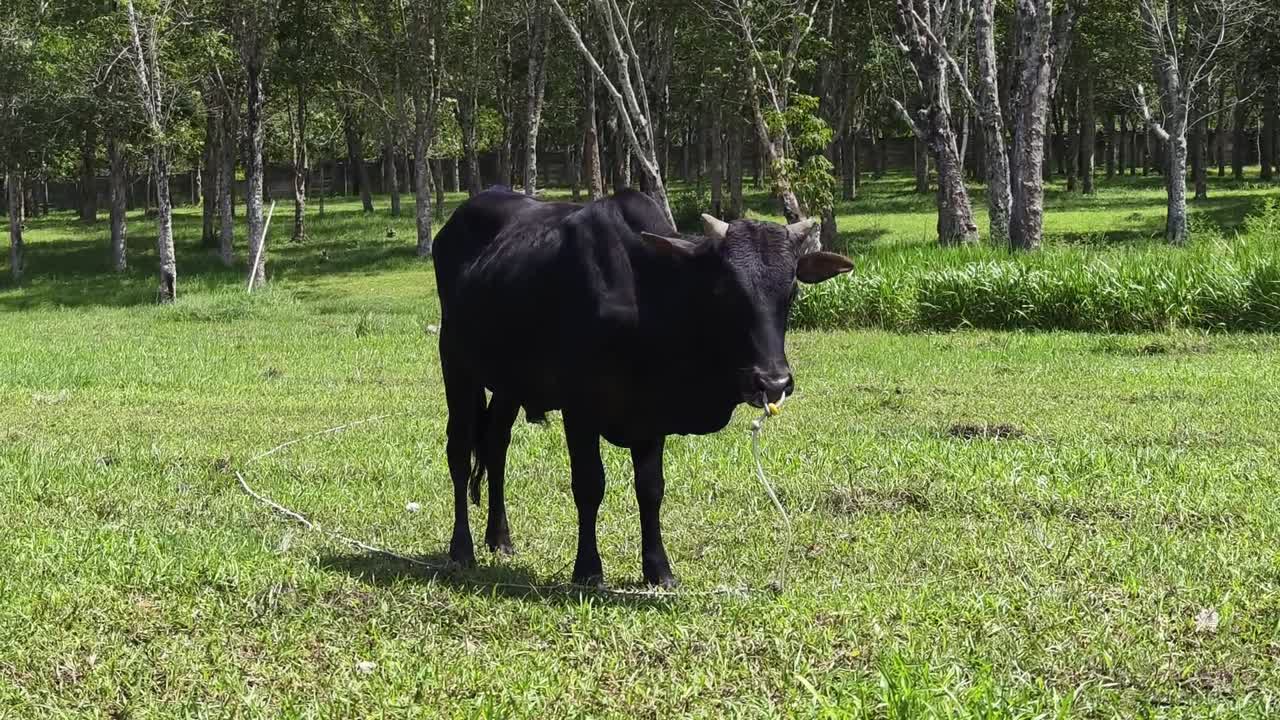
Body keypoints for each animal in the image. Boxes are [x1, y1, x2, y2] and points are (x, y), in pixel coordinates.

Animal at [431, 187, 852, 588]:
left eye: (791, 292)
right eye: (724, 291)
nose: (772, 380)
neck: (647, 298)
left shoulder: (652, 415)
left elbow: (650, 489)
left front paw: (658, 569)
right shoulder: (579, 408)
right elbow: (589, 484)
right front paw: (588, 569)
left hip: (508, 383)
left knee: (495, 446)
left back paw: (499, 538)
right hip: (456, 365)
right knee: (459, 451)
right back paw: (462, 548)